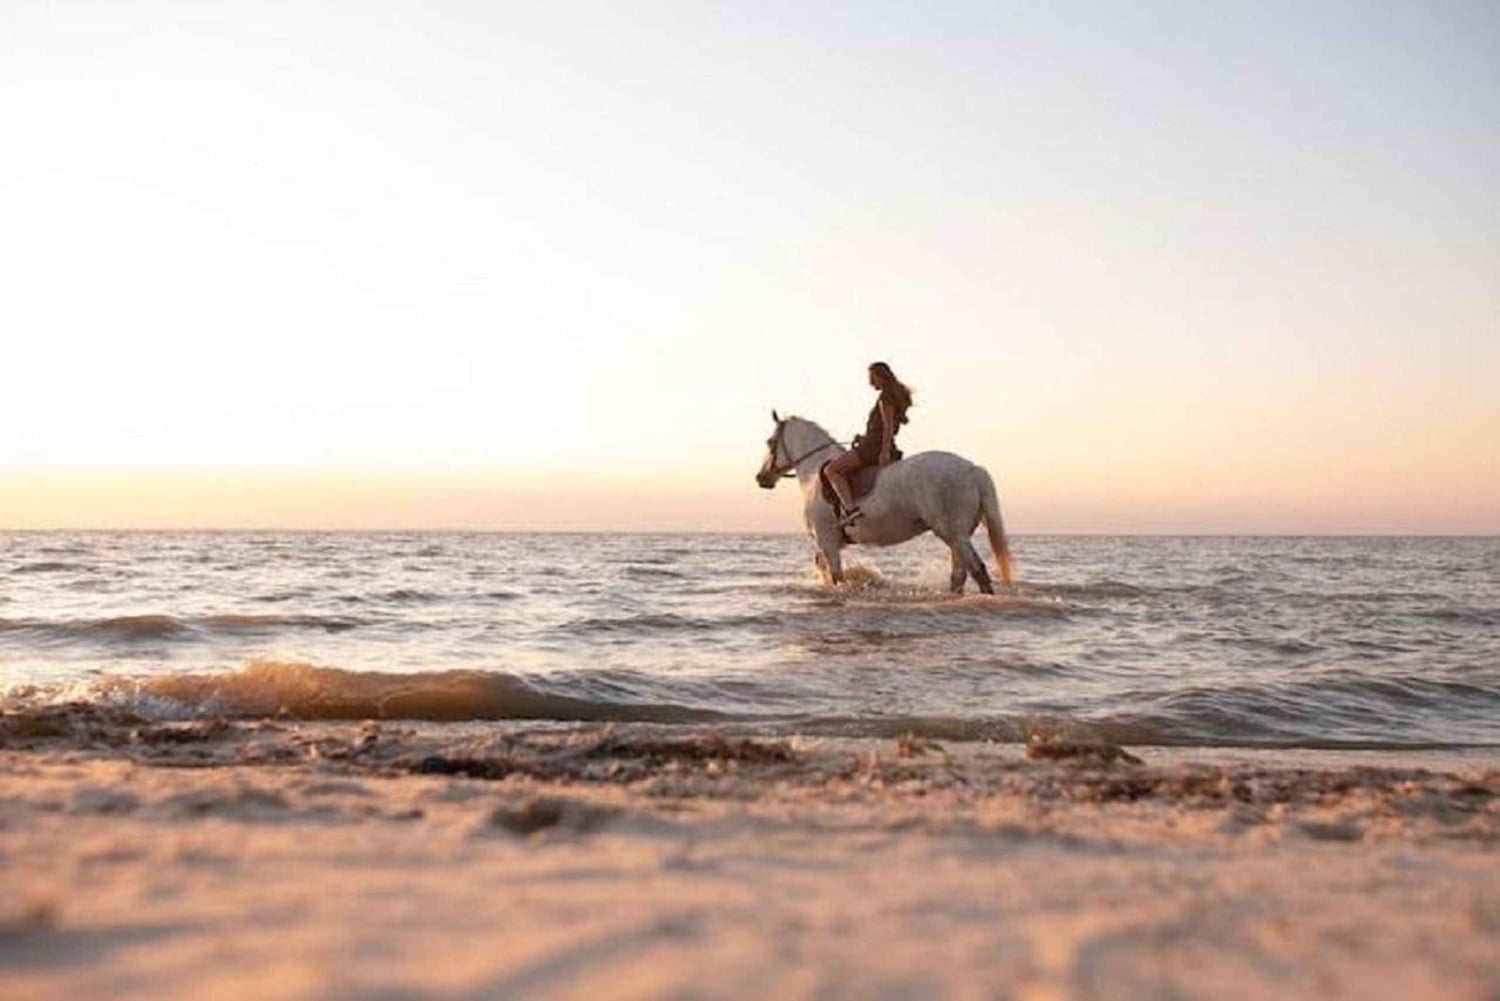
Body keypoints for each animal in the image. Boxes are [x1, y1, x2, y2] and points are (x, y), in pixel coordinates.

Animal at [755, 412, 1014, 593]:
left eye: (769, 442)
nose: (761, 478)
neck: (813, 475)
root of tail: (971, 469)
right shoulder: (825, 544)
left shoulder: (827, 542)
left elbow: (837, 578)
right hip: (956, 537)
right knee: (959, 575)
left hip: (955, 535)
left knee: (978, 571)